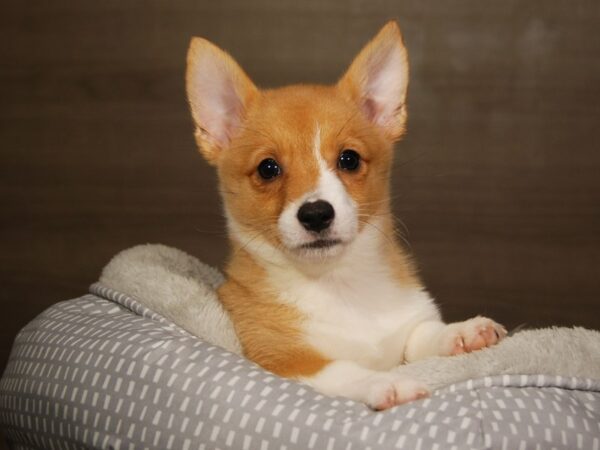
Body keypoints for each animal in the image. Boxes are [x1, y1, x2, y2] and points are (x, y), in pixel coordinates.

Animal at [185, 22, 504, 412]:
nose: (316, 214)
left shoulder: (406, 334)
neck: (340, 285)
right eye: (268, 168)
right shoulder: (286, 360)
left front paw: (463, 331)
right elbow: (346, 370)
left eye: (349, 159)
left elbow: (422, 334)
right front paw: (388, 383)